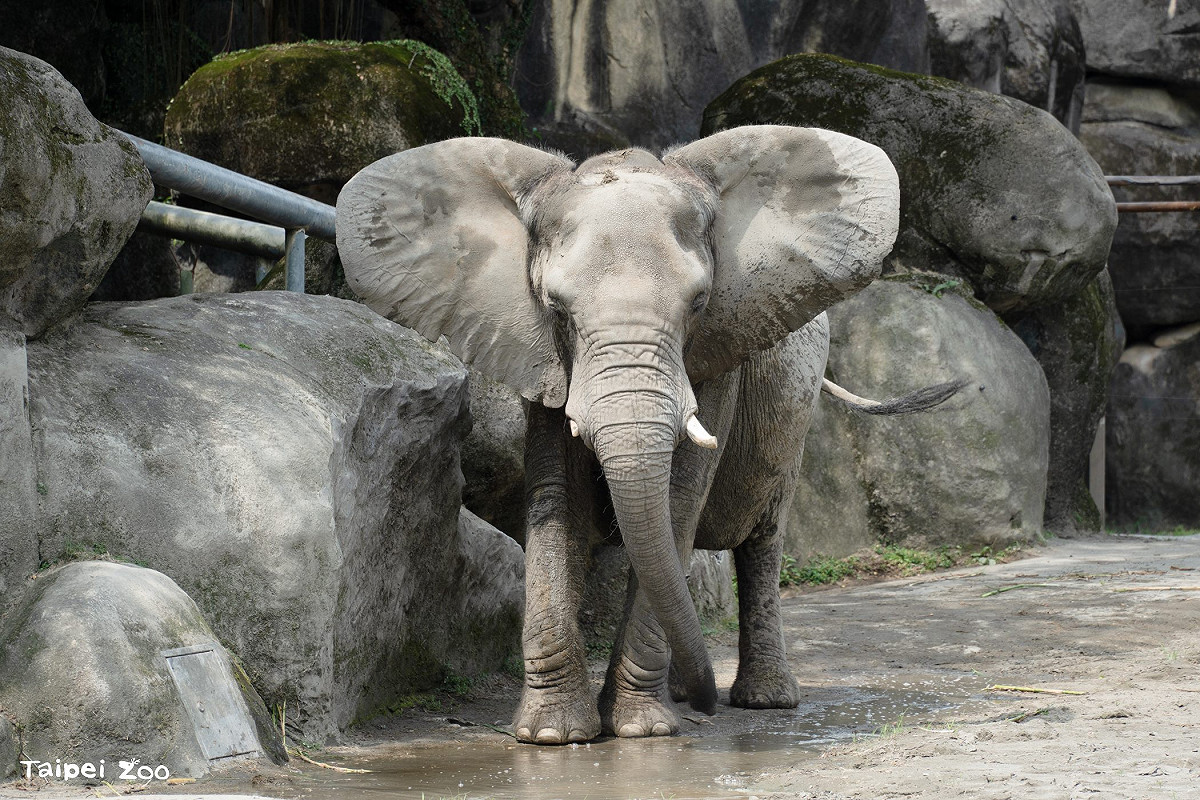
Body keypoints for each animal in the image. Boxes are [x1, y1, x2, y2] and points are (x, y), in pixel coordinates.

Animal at [336, 125, 959, 745]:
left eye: (699, 304)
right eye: (556, 310)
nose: (708, 706)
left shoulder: (718, 354)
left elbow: (680, 496)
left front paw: (640, 730)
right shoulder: (541, 358)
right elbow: (558, 499)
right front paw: (552, 736)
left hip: (792, 414)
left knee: (761, 537)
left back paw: (763, 699)